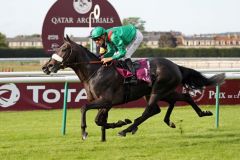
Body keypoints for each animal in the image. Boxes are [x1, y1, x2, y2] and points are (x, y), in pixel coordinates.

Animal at [41, 36, 225, 141]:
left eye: (64, 48)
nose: (46, 66)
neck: (95, 71)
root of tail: (176, 66)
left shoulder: (107, 100)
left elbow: (84, 108)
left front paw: (85, 132)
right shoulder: (105, 103)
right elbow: (99, 120)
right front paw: (119, 122)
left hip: (158, 90)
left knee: (149, 110)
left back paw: (127, 130)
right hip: (161, 91)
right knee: (180, 99)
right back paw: (200, 113)